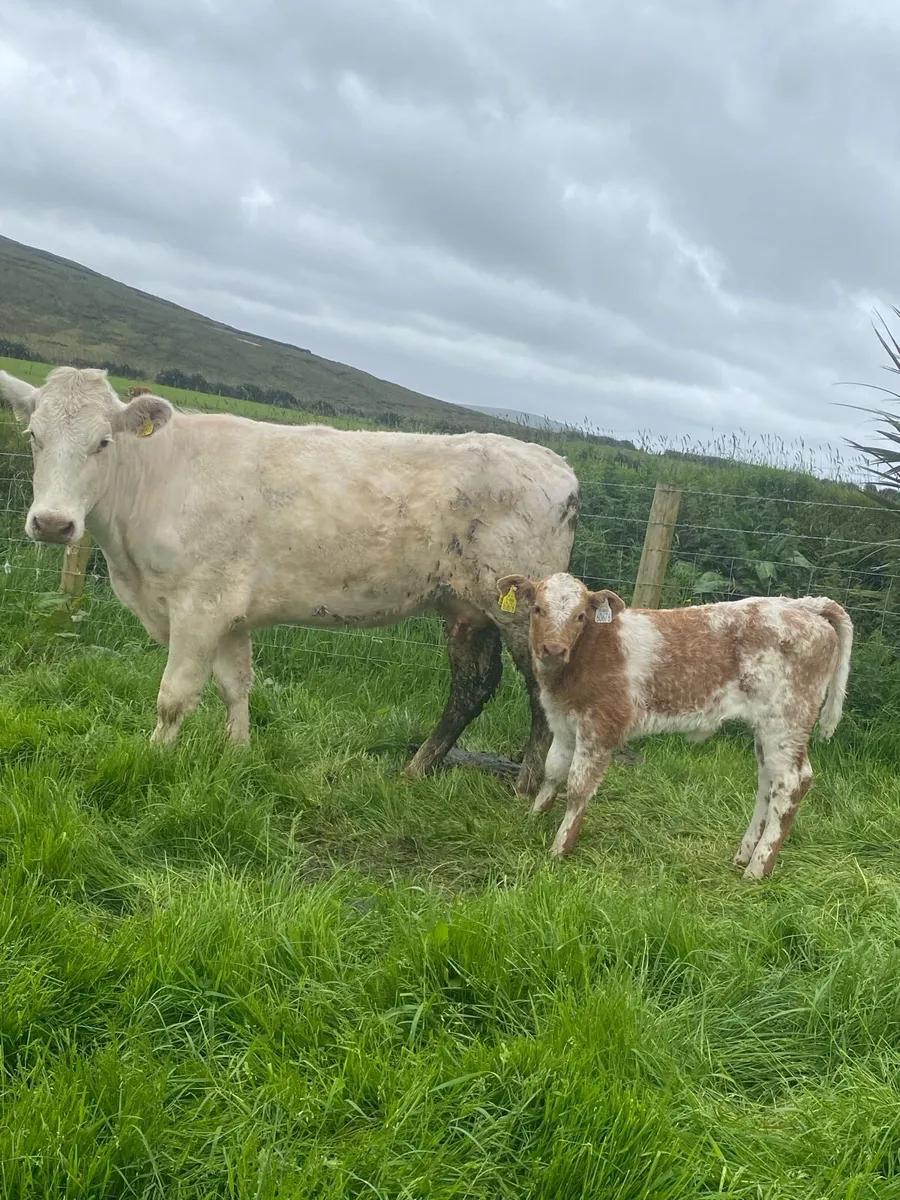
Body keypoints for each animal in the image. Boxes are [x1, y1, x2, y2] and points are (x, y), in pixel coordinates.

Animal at [0, 366, 581, 795]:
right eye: (33, 436)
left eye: (103, 442)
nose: (53, 524)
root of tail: (559, 466)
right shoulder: (230, 611)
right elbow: (235, 685)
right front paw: (237, 756)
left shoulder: (199, 605)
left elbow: (175, 695)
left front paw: (152, 760)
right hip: (463, 607)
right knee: (472, 684)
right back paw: (416, 769)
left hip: (520, 607)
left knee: (538, 692)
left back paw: (524, 787)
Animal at [495, 571, 853, 880]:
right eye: (538, 609)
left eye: (580, 616)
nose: (553, 649)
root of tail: (803, 605)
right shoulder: (564, 723)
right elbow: (553, 772)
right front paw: (532, 819)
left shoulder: (601, 726)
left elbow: (578, 787)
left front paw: (560, 848)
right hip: (767, 728)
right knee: (769, 782)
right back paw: (743, 855)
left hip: (787, 720)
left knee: (792, 783)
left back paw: (757, 869)